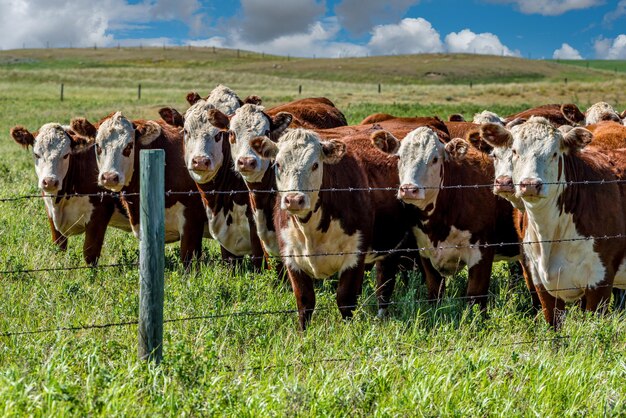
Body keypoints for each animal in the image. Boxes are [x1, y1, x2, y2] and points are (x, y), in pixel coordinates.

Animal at [9, 122, 130, 264]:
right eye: (36, 154)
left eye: (66, 155)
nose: (50, 182)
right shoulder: (51, 215)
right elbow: (59, 249)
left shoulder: (99, 214)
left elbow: (90, 254)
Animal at [368, 125, 520, 308]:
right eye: (399, 157)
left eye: (434, 159)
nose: (408, 189)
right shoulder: (426, 253)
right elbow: (435, 294)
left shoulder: (482, 253)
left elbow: (475, 298)